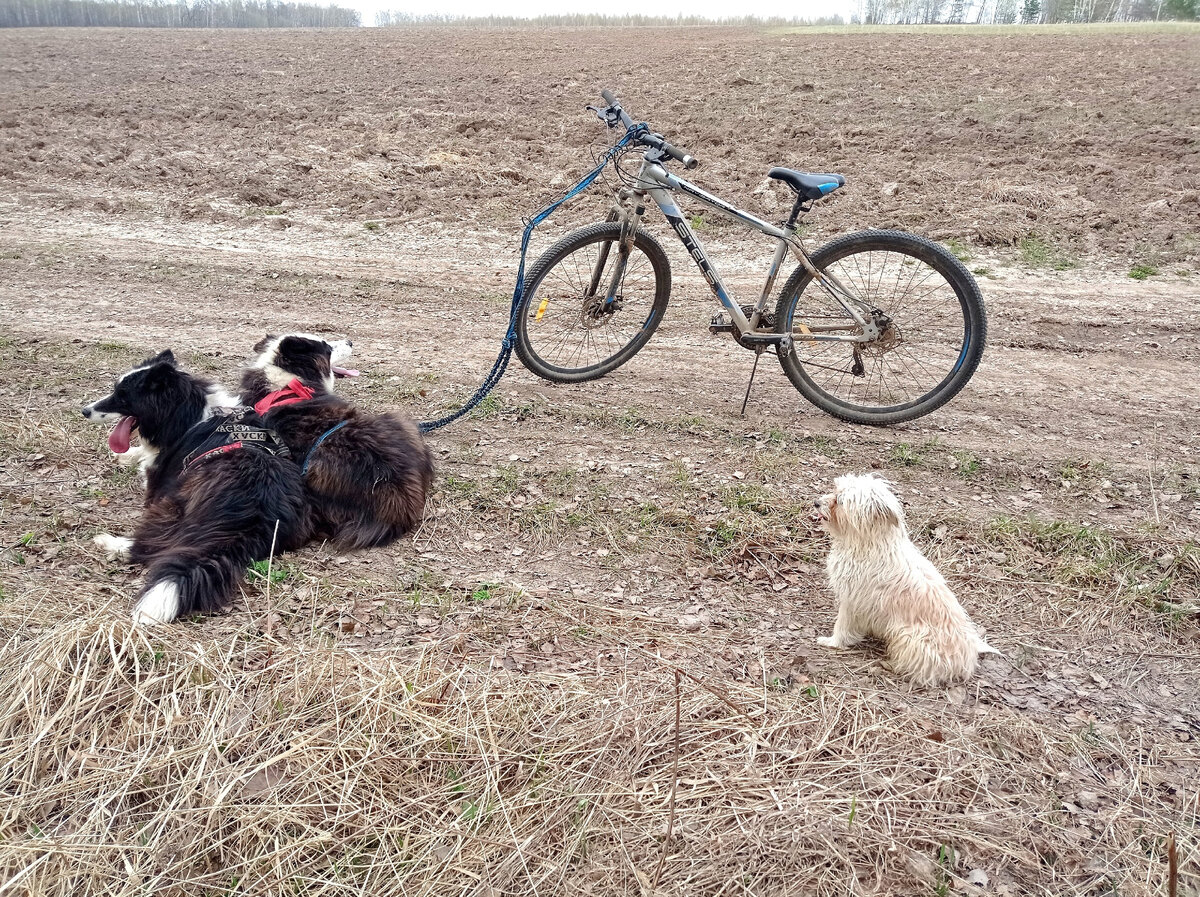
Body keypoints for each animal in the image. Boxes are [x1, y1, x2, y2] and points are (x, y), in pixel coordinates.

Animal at [811, 470, 998, 685]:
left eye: (840, 501)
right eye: (835, 489)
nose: (816, 502)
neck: (869, 541)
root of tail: (969, 656)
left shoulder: (852, 601)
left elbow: (841, 626)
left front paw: (832, 642)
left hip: (908, 637)